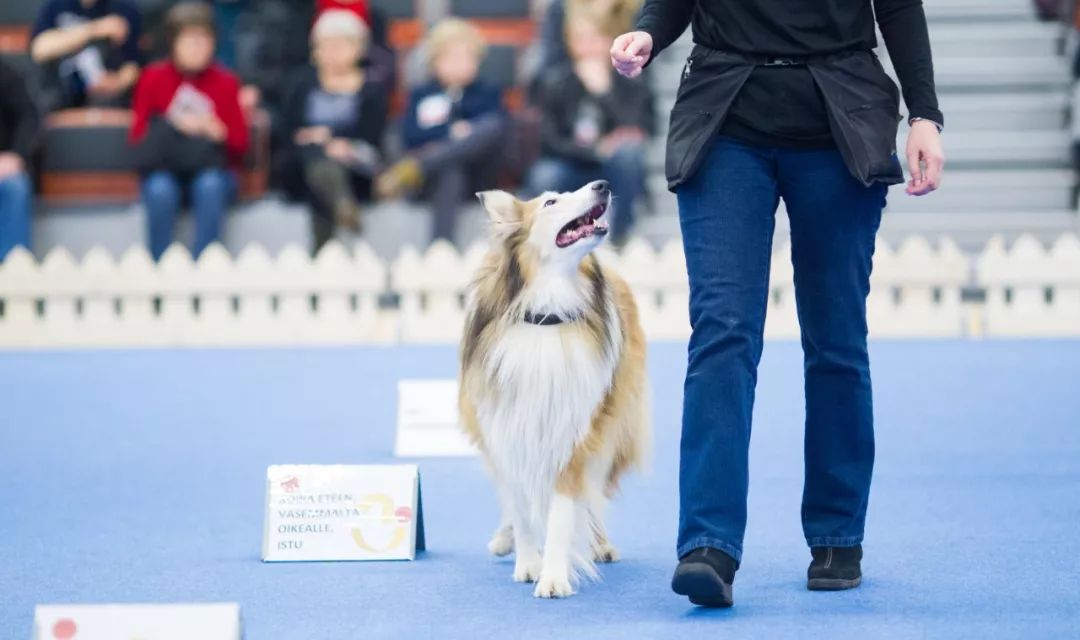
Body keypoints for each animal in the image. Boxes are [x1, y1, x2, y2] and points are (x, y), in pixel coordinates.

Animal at [457, 181, 648, 600]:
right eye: (550, 201)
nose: (602, 185)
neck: (547, 315)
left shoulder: (574, 431)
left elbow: (562, 511)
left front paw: (554, 575)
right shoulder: (504, 426)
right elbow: (520, 507)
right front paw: (528, 561)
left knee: (592, 494)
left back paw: (599, 543)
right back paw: (505, 539)